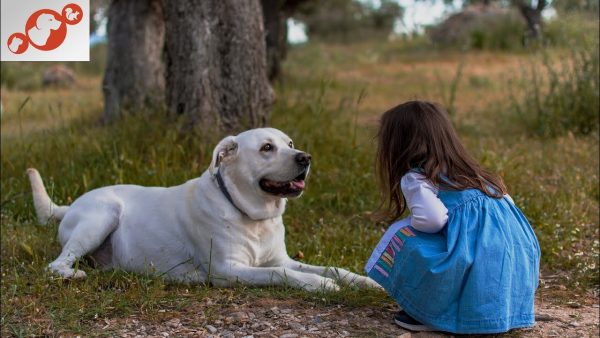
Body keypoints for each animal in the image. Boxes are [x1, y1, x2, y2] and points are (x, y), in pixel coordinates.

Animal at [29, 128, 380, 292]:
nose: (305, 157)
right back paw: (72, 274)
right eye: (267, 148)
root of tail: (69, 205)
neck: (252, 216)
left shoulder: (281, 258)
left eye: (290, 143)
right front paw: (318, 285)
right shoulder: (229, 269)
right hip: (102, 215)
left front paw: (364, 282)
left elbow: (330, 268)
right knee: (55, 265)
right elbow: (280, 274)